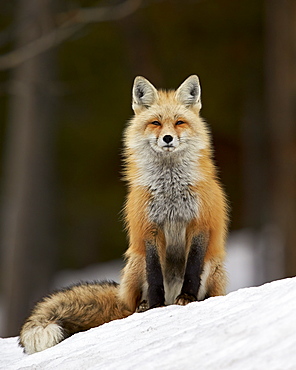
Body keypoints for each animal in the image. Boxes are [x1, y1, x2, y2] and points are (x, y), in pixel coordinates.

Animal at [18, 74, 228, 352]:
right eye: (155, 123)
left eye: (179, 122)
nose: (168, 138)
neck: (170, 189)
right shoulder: (148, 228)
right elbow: (154, 274)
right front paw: (155, 306)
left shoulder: (200, 224)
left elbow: (192, 269)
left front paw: (189, 298)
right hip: (135, 264)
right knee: (134, 301)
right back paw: (143, 307)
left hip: (213, 266)